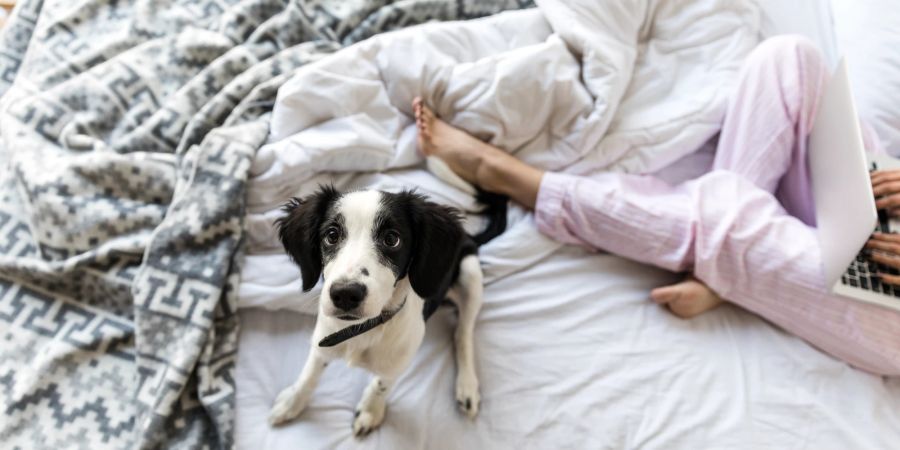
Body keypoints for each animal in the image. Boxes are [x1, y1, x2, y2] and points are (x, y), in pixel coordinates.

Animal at [268, 184, 506, 436]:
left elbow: (382, 383)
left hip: (470, 273)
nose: (345, 294)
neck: (361, 329)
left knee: (462, 333)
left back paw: (467, 386)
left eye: (392, 239)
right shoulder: (322, 340)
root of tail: (468, 237)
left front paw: (370, 410)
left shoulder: (399, 361)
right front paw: (292, 402)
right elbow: (310, 373)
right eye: (331, 235)